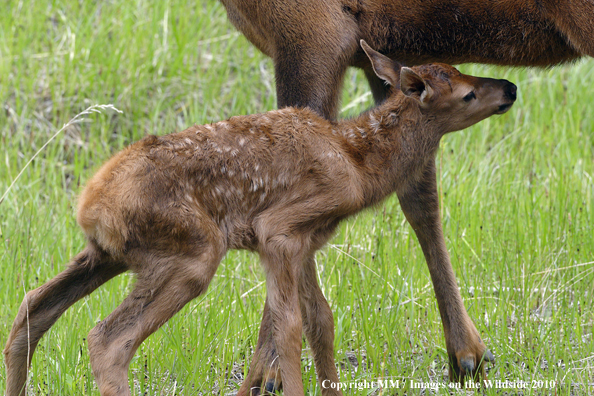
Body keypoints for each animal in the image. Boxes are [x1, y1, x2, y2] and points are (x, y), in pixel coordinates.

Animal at [2, 41, 512, 394]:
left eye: (463, 72)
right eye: (468, 94)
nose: (509, 88)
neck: (361, 165)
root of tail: (88, 203)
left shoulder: (305, 242)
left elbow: (321, 321)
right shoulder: (278, 230)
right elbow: (288, 329)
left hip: (107, 254)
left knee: (32, 308)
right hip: (194, 252)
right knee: (108, 340)